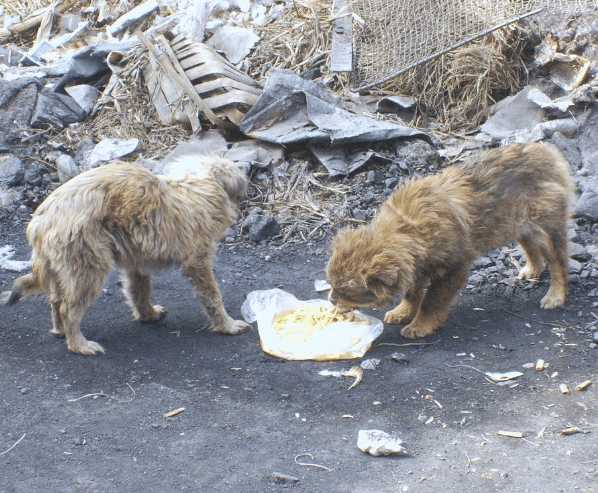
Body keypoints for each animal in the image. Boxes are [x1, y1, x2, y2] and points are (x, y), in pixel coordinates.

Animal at [2, 154, 251, 354]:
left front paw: (148, 314)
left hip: (59, 261)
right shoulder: (197, 256)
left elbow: (138, 287)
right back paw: (79, 343)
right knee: (69, 305)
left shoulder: (135, 255)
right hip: (85, 254)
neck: (197, 184)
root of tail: (41, 222)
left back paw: (59, 330)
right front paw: (227, 324)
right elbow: (210, 293)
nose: (247, 168)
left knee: (55, 297)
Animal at [328, 140, 576, 336]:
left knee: (558, 263)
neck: (407, 228)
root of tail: (548, 153)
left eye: (346, 291)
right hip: (516, 223)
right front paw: (402, 311)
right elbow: (412, 293)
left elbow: (431, 301)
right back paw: (532, 269)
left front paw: (419, 326)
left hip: (547, 227)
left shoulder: (452, 269)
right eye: (332, 285)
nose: (331, 300)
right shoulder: (417, 266)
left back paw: (555, 296)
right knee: (531, 247)